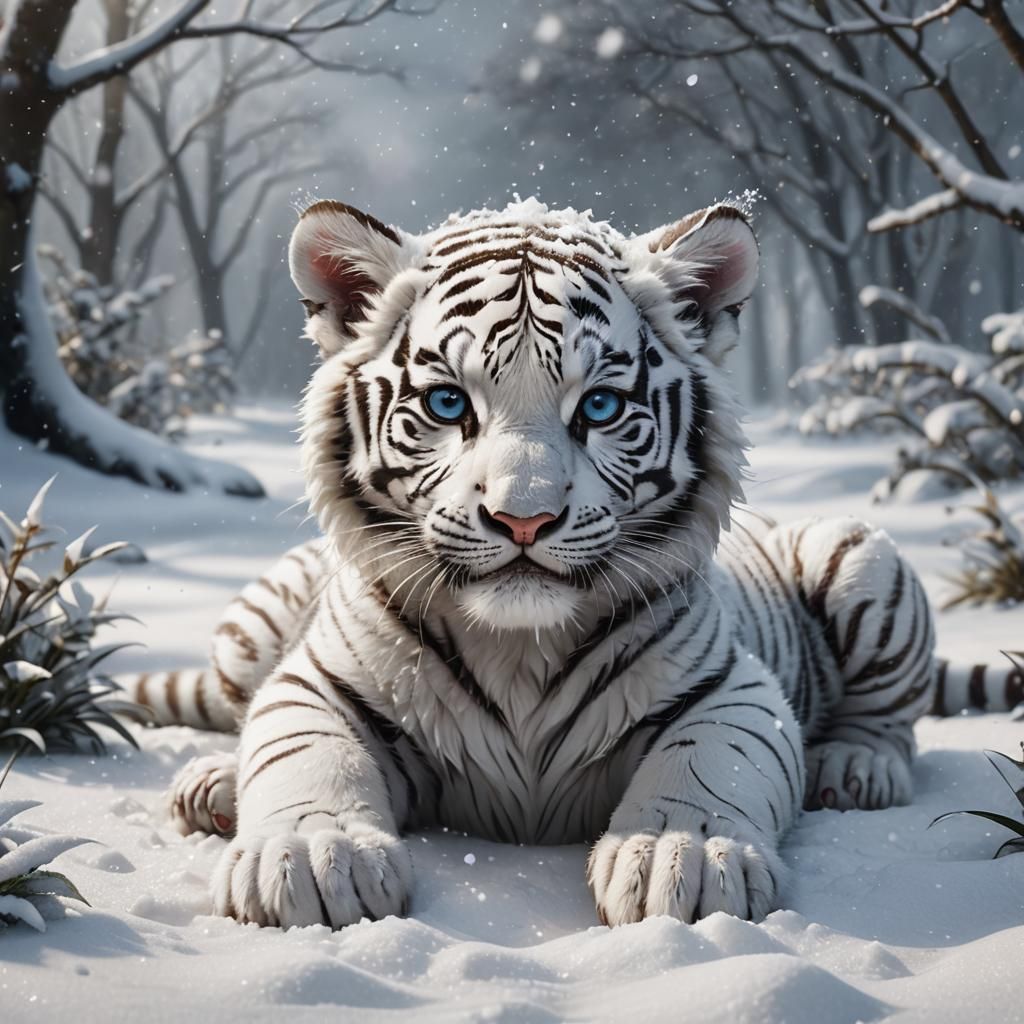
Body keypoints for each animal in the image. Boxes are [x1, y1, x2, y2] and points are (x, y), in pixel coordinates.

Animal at [128, 197, 1023, 931]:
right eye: (448, 403)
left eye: (599, 406)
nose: (523, 516)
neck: (519, 647)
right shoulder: (319, 681)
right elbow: (302, 748)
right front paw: (316, 858)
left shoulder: (732, 687)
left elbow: (710, 761)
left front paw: (680, 857)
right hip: (257, 620)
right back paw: (214, 784)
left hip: (860, 554)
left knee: (891, 720)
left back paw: (853, 767)